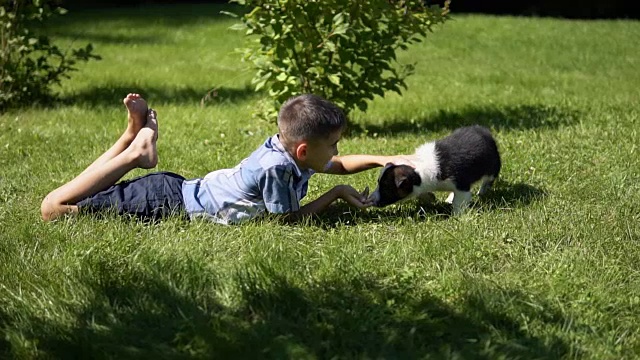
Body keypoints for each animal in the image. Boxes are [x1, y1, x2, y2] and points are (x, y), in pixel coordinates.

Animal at [370, 125, 500, 215]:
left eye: (386, 188)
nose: (371, 200)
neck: (417, 173)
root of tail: (485, 131)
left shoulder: (461, 184)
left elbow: (459, 202)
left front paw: (456, 216)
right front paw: (430, 198)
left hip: (492, 166)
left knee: (488, 179)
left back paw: (482, 191)